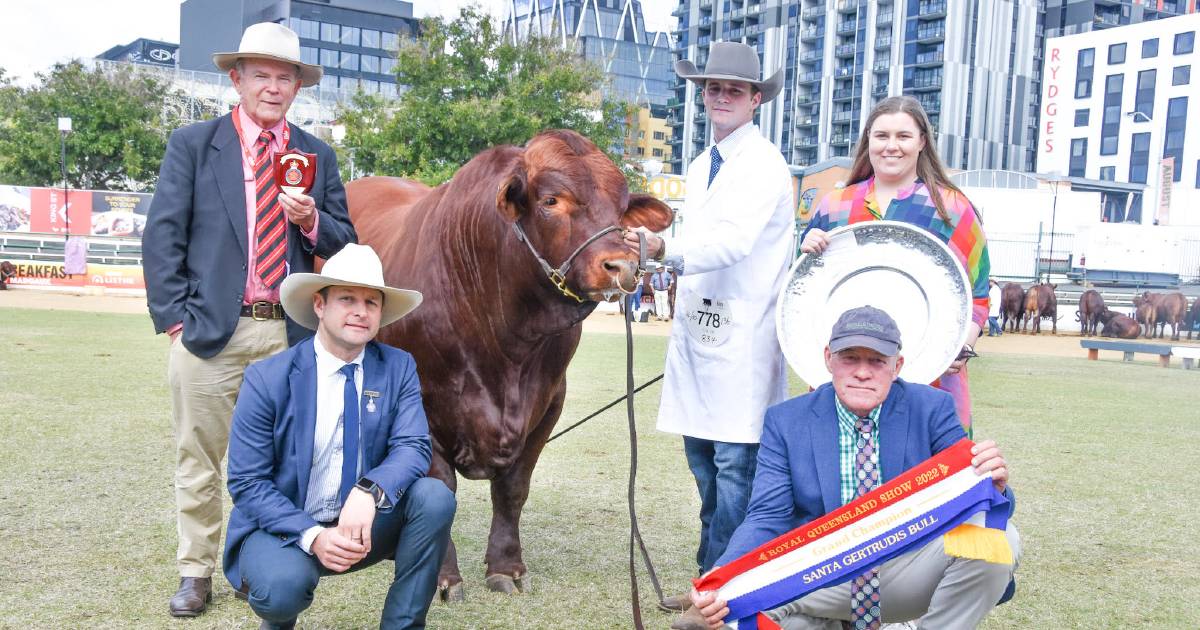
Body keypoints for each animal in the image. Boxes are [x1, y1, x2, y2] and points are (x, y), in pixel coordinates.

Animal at [345, 131, 676, 600]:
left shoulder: (549, 402)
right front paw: (444, 576)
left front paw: (506, 566)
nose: (622, 266)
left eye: (621, 205)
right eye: (552, 200)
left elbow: (514, 488)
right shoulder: (422, 404)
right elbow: (440, 488)